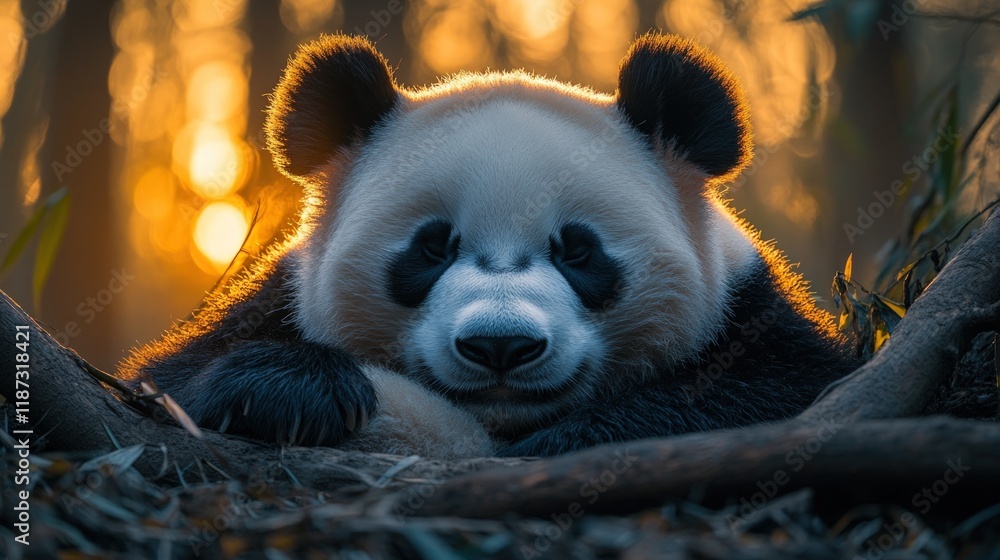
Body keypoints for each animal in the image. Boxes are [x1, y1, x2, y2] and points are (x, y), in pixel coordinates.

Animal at [119, 33, 859, 459]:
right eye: (431, 249)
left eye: (578, 252)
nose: (500, 346)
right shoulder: (278, 302)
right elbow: (172, 378)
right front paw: (294, 391)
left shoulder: (749, 318)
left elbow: (767, 395)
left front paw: (572, 440)